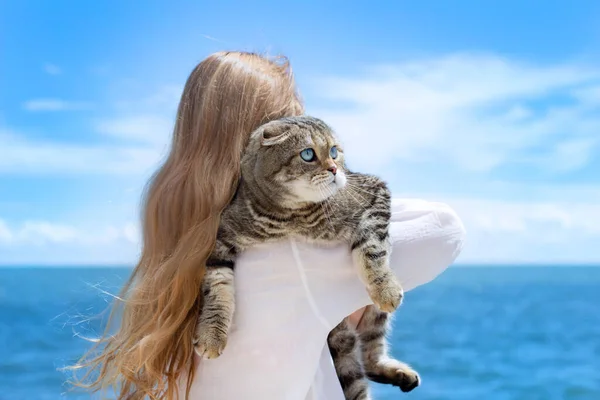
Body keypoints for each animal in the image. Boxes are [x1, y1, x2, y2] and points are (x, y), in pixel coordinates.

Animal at [195, 115, 420, 396]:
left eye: (334, 151)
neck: (292, 216)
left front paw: (384, 288)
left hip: (374, 317)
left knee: (370, 354)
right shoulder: (220, 239)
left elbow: (371, 245)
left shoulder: (374, 192)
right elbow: (217, 289)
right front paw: (212, 334)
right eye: (307, 154)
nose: (335, 169)